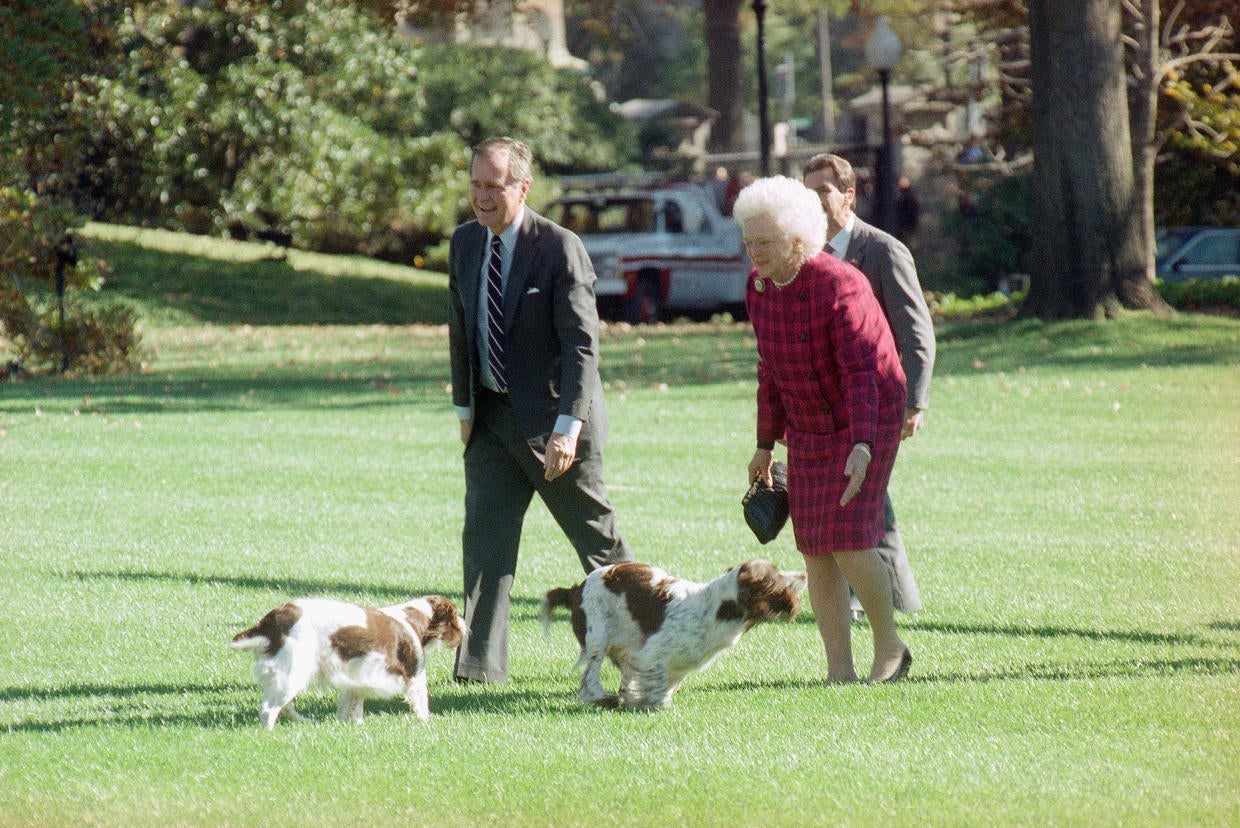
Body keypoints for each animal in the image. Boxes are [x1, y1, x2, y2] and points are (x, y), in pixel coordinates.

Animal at [231, 594, 466, 728]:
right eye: (455, 615)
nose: (465, 626)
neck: (413, 619)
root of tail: (271, 621)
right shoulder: (414, 673)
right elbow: (422, 703)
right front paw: (427, 724)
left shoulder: (358, 676)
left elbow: (353, 705)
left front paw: (355, 726)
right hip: (293, 670)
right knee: (269, 708)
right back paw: (268, 733)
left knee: (284, 706)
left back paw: (306, 722)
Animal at [543, 560, 803, 709]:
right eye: (778, 575)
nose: (804, 575)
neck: (717, 608)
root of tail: (576, 588)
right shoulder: (649, 654)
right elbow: (657, 684)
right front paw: (650, 703)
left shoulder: (676, 662)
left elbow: (665, 683)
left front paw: (637, 699)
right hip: (597, 636)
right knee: (589, 680)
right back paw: (603, 697)